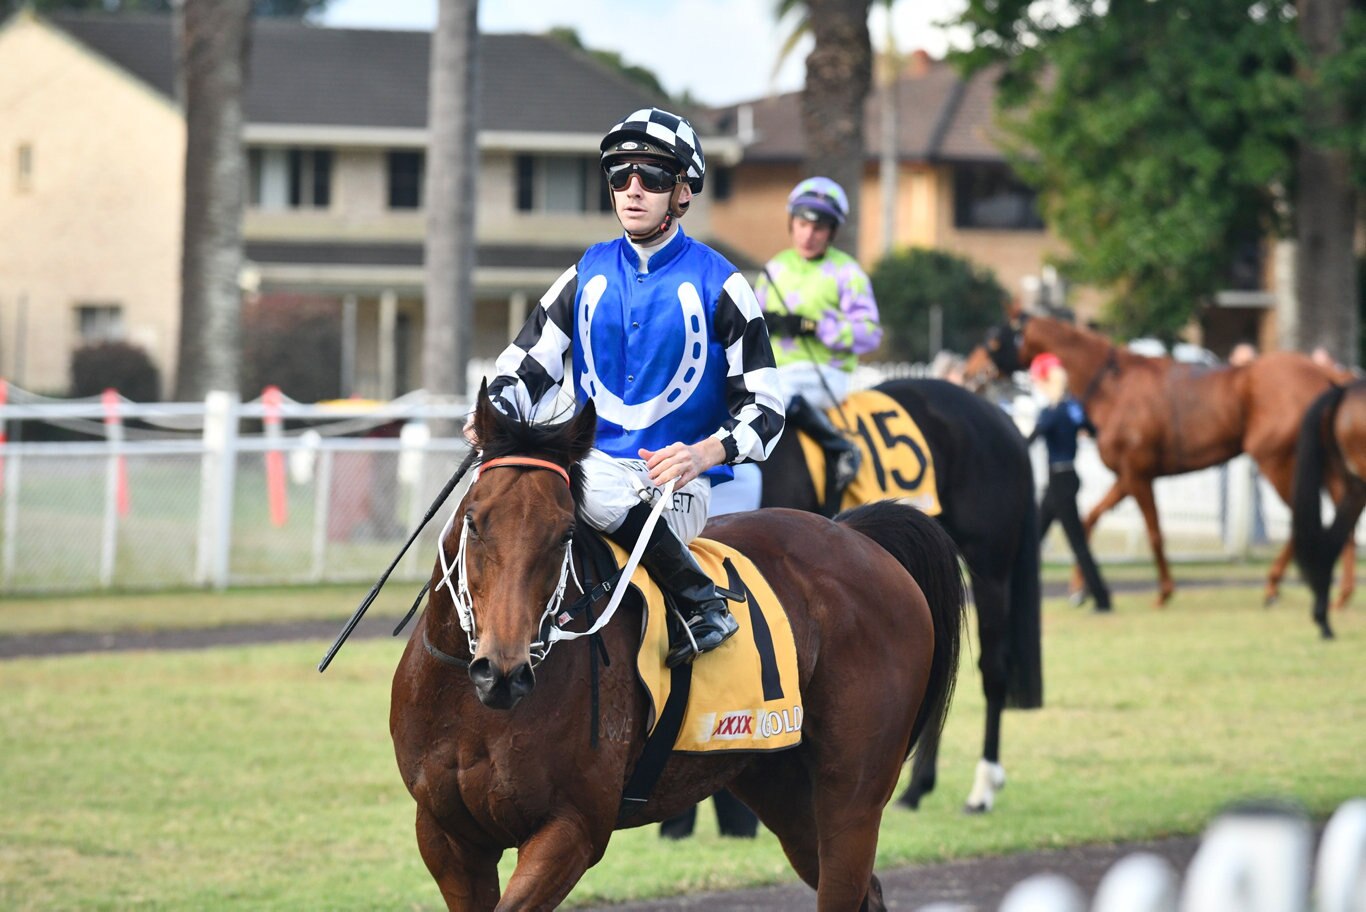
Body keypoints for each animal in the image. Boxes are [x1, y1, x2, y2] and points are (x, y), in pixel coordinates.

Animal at [390, 393, 967, 912]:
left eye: (565, 533)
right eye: (473, 520)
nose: (503, 672)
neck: (473, 711)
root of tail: (856, 535)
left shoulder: (573, 826)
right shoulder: (445, 837)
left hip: (852, 791)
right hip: (777, 780)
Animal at [967, 314, 1349, 611]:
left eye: (994, 339)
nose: (969, 373)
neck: (1113, 388)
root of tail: (1326, 375)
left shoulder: (1138, 474)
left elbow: (1154, 532)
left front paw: (1163, 591)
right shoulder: (1127, 475)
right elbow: (1091, 519)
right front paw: (1079, 589)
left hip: (1277, 460)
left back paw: (1276, 585)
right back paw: (1339, 594)